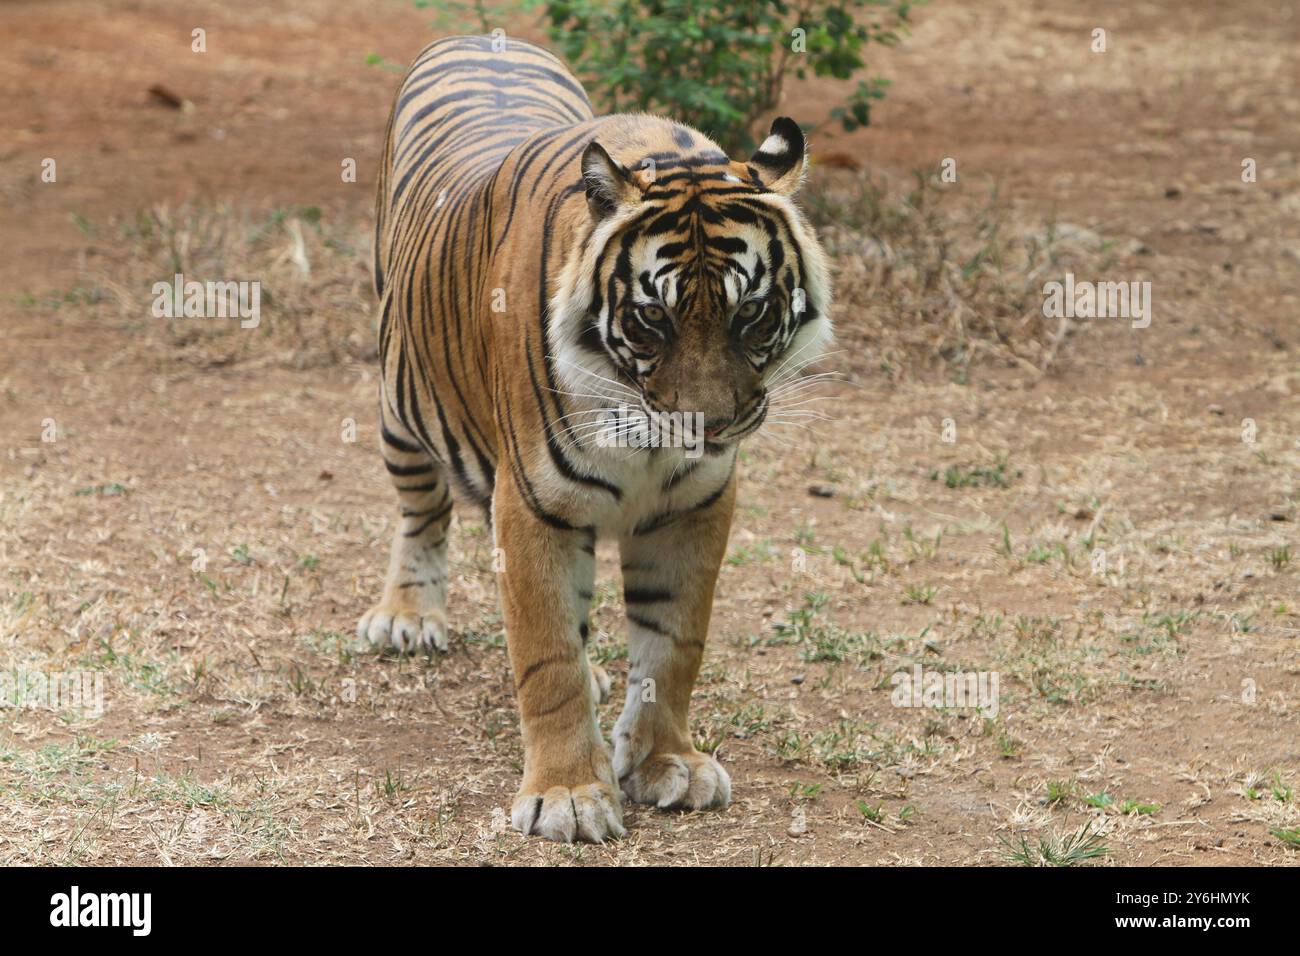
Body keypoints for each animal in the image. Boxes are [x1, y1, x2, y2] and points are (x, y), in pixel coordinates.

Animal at [359, 34, 831, 842]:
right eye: (652, 318)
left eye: (751, 313)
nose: (705, 423)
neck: (642, 430)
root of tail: (485, 37)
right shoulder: (534, 506)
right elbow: (546, 656)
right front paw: (570, 794)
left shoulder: (693, 509)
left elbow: (674, 648)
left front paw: (666, 762)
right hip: (401, 405)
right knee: (422, 512)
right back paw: (407, 617)